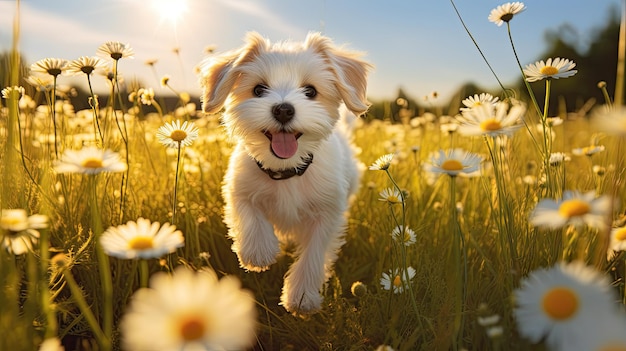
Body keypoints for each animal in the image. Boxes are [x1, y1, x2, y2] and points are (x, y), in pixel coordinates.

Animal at [199, 32, 370, 314]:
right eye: (259, 89)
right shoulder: (238, 186)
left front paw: (301, 297)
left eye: (310, 91)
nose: (283, 109)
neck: (286, 171)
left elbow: (313, 254)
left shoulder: (327, 213)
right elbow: (249, 214)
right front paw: (258, 252)